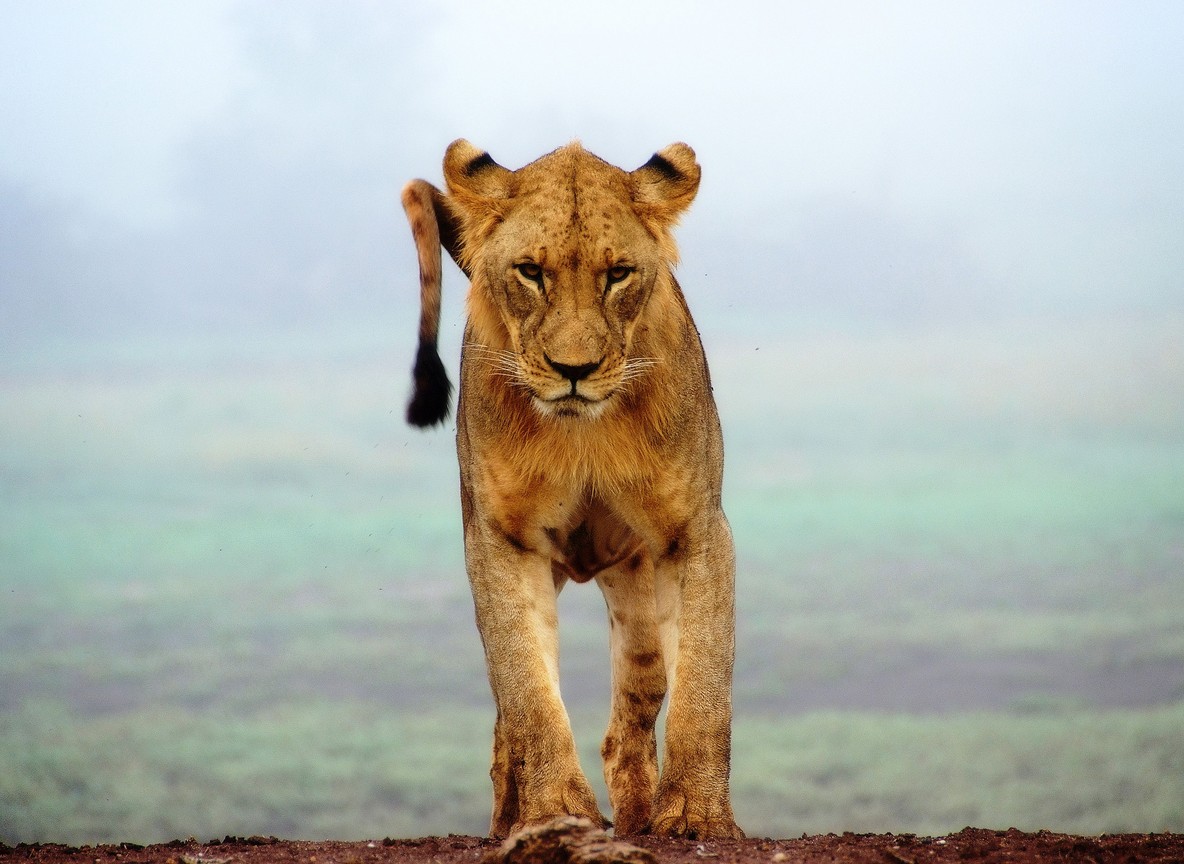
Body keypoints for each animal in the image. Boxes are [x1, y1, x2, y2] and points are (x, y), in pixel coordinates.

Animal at [400, 140, 741, 840]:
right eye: (531, 272)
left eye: (618, 275)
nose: (574, 370)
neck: (583, 434)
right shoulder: (503, 540)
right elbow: (528, 690)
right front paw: (556, 812)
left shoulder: (696, 529)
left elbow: (704, 681)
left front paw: (696, 816)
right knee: (508, 724)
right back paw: (509, 819)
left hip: (636, 594)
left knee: (633, 712)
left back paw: (639, 818)